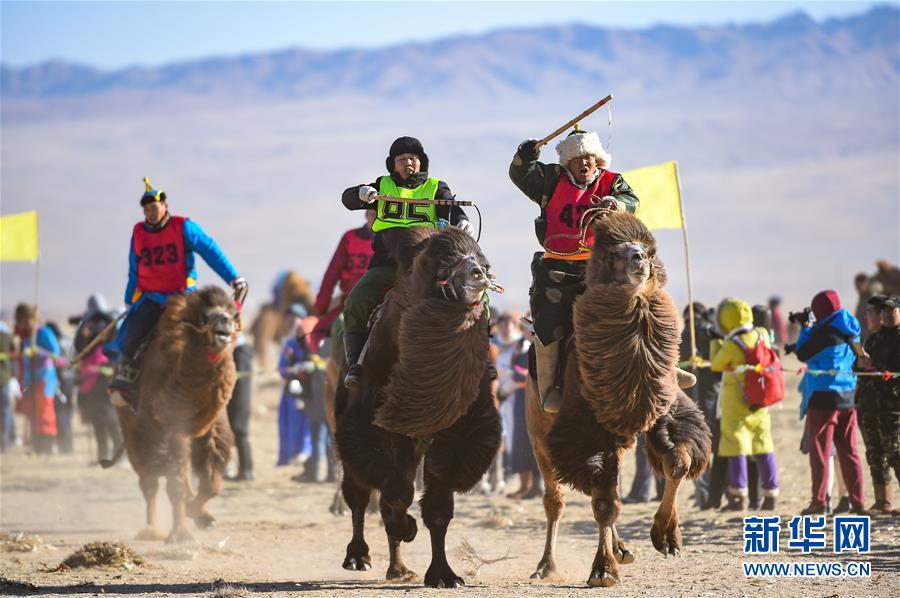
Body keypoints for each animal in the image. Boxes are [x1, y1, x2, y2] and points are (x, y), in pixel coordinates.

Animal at [106, 286, 240, 544]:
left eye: (231, 311)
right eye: (206, 316)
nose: (226, 321)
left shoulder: (211, 428)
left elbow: (211, 482)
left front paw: (200, 515)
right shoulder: (173, 428)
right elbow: (175, 482)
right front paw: (180, 534)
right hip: (134, 429)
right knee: (149, 481)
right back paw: (151, 530)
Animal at [335, 226, 502, 587]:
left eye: (481, 258)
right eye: (438, 263)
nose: (477, 273)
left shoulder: (456, 429)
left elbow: (438, 508)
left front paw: (443, 575)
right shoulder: (380, 422)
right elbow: (396, 492)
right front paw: (406, 527)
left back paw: (399, 568)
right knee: (358, 491)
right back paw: (358, 556)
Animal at [527, 212, 712, 587]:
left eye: (649, 250)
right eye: (613, 254)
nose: (639, 259)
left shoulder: (663, 407)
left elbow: (678, 462)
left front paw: (667, 537)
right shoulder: (585, 429)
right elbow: (604, 502)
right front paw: (602, 570)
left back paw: (623, 549)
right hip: (538, 437)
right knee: (557, 499)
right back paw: (547, 565)